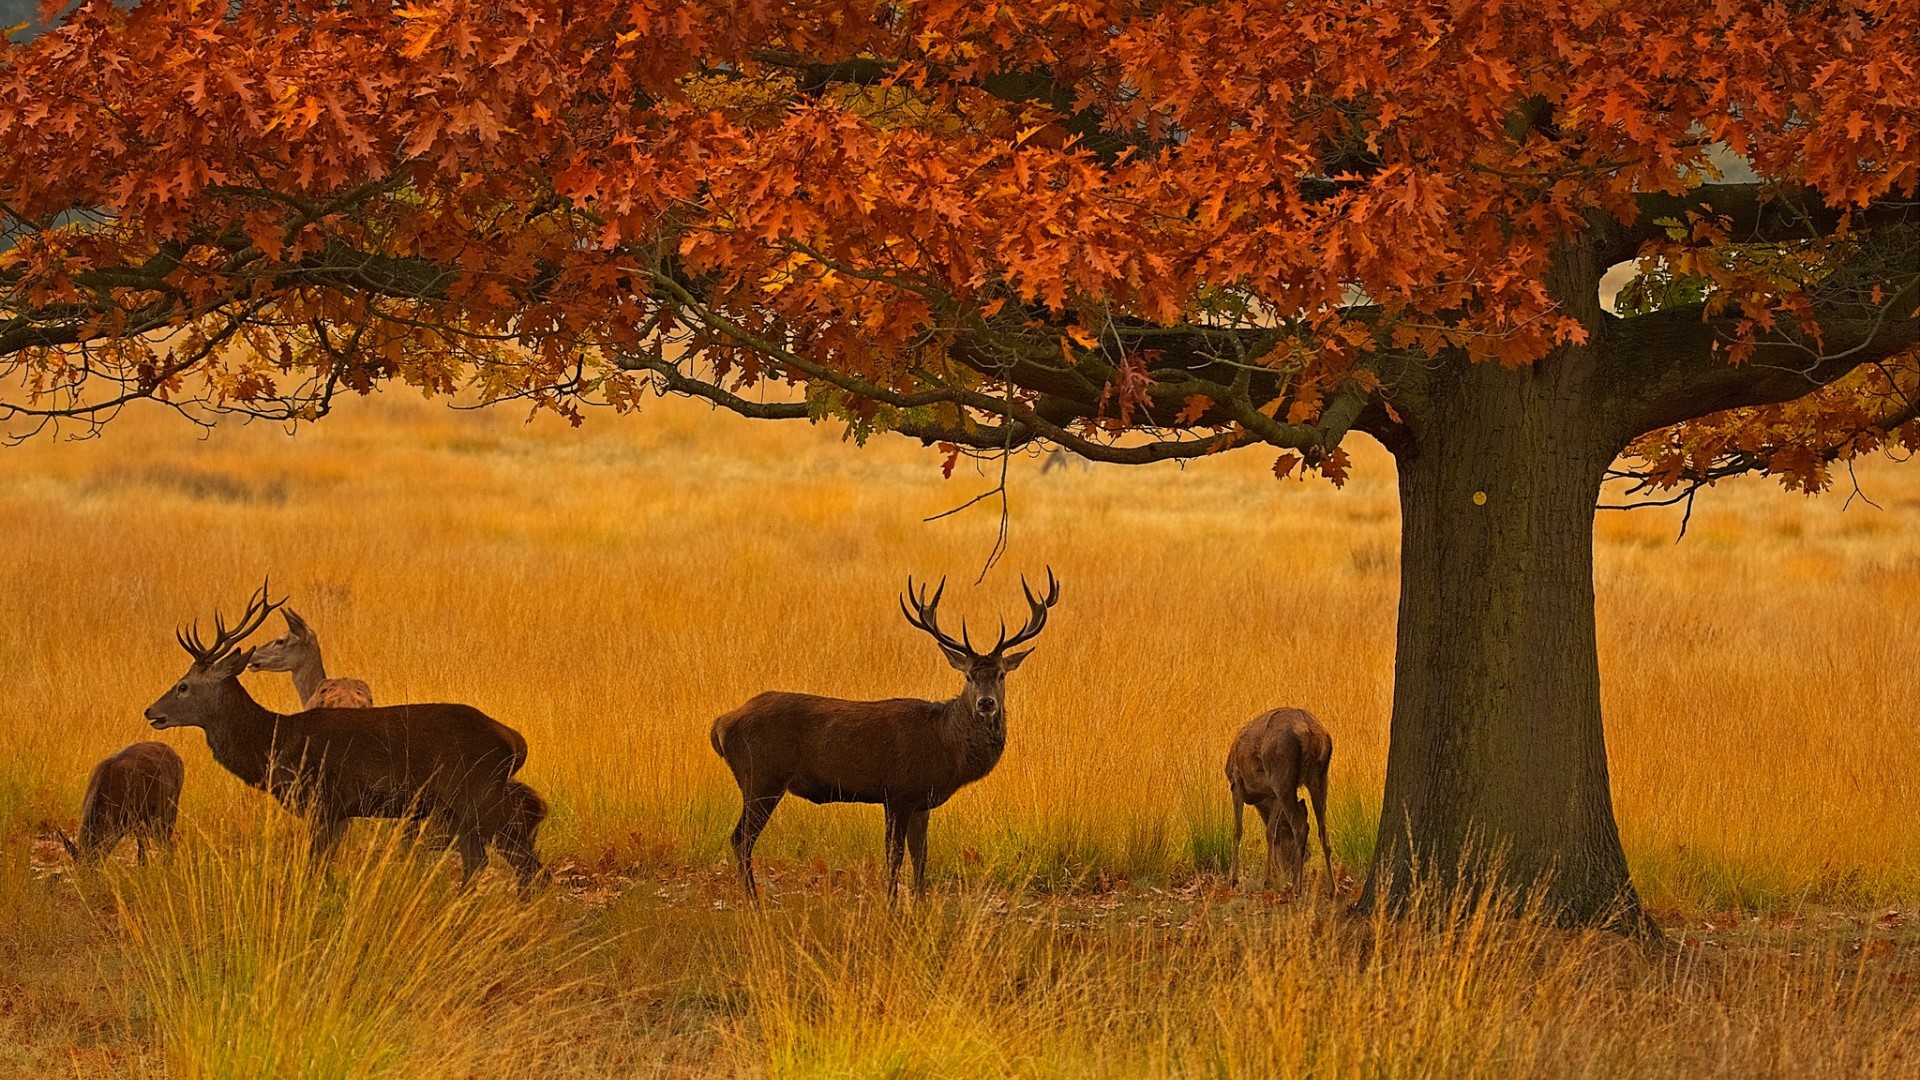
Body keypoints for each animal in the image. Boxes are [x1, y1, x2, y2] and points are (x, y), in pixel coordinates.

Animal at [143, 581, 543, 889]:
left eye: (183, 686)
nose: (151, 712)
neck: (275, 743)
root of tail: (515, 741)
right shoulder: (338, 812)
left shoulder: (323, 801)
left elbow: (314, 867)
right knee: (490, 862)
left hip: (479, 795)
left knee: (525, 865)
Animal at [711, 569, 1060, 900]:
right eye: (969, 676)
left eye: (1000, 674)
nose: (986, 703)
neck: (945, 743)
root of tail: (721, 724)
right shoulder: (898, 791)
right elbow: (895, 855)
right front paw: (892, 904)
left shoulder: (921, 800)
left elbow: (921, 856)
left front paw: (920, 904)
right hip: (762, 776)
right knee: (741, 838)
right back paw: (753, 901)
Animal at [1226, 707, 1335, 895]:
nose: (1287, 870)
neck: (1258, 797)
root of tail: (1311, 733)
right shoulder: (1273, 794)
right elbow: (1271, 832)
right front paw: (1268, 879)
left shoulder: (1236, 781)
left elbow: (1237, 830)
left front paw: (1234, 880)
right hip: (1319, 776)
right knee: (1323, 829)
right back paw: (1332, 888)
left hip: (1281, 776)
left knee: (1301, 826)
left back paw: (1297, 888)